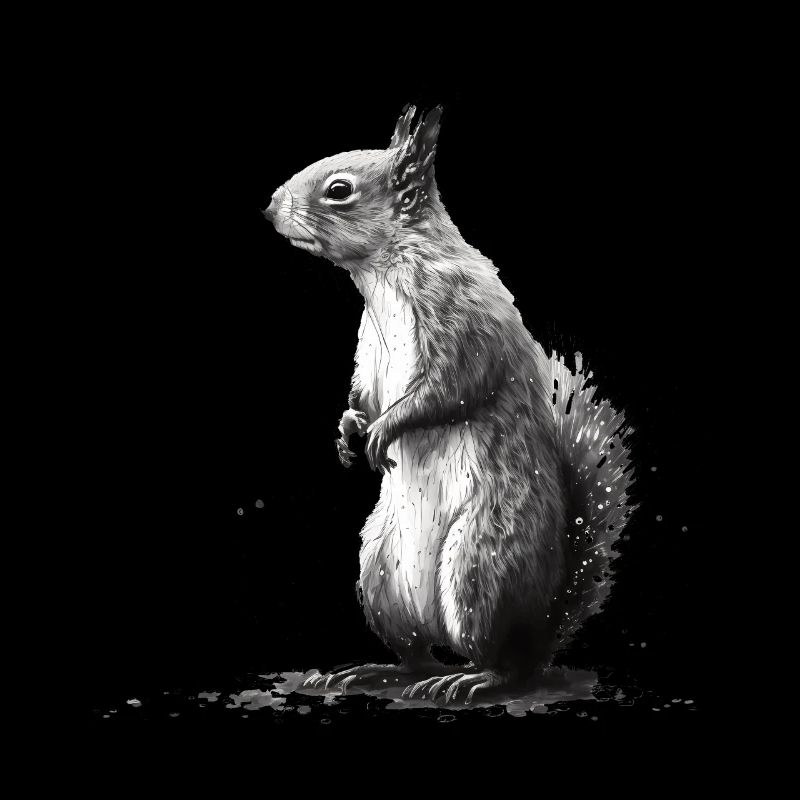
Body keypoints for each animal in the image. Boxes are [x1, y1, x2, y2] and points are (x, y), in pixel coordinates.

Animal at [263, 105, 634, 704]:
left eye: (339, 190)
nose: (270, 207)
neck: (382, 274)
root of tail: (539, 629)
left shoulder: (461, 321)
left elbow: (447, 389)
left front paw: (383, 430)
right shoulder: (370, 350)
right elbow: (363, 391)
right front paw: (347, 427)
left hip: (481, 565)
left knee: (503, 663)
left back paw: (472, 678)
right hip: (380, 573)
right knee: (415, 654)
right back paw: (375, 670)